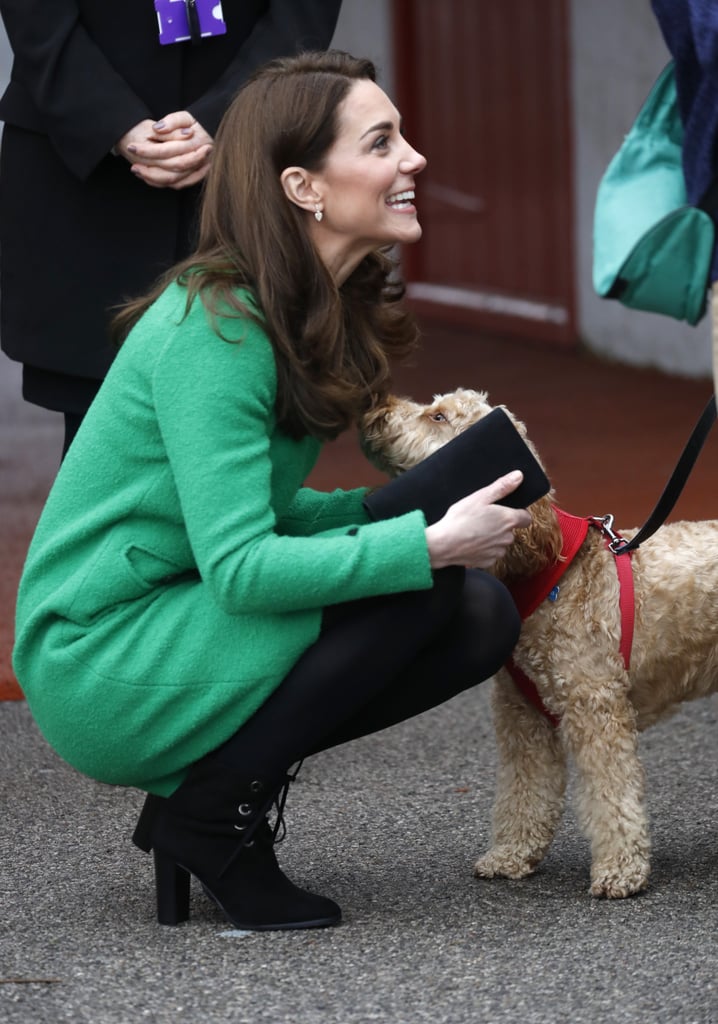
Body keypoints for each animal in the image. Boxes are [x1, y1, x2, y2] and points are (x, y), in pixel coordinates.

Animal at [360, 387, 716, 901]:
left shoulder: (597, 711)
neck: (547, 569)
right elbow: (525, 793)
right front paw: (511, 855)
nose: (376, 407)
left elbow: (612, 795)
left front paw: (620, 871)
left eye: (439, 416)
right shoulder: (522, 718)